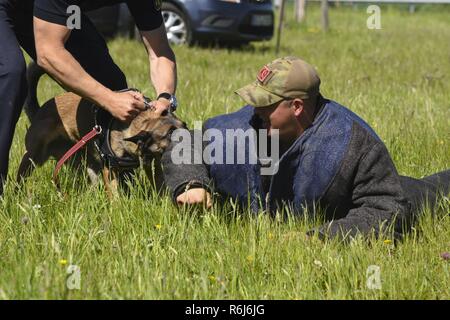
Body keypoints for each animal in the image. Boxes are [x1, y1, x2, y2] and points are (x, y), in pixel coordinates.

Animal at [16, 62, 185, 196]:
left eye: (185, 126)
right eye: (170, 133)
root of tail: (39, 111)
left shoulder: (153, 163)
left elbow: (160, 184)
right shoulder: (109, 170)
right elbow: (115, 196)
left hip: (82, 162)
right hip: (33, 156)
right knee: (21, 177)